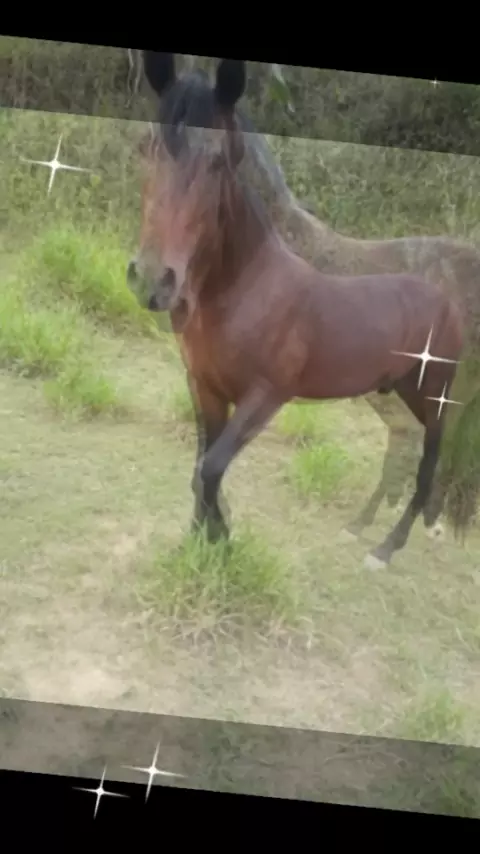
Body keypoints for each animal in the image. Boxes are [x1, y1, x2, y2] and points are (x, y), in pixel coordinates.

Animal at [127, 55, 468, 570]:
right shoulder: (205, 387)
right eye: (147, 147)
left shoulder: (267, 396)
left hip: (433, 395)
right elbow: (202, 467)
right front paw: (204, 543)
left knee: (429, 456)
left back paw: (386, 548)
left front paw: (222, 543)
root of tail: (445, 298)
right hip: (400, 392)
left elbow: (210, 468)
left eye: (217, 160)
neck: (246, 288)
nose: (154, 281)